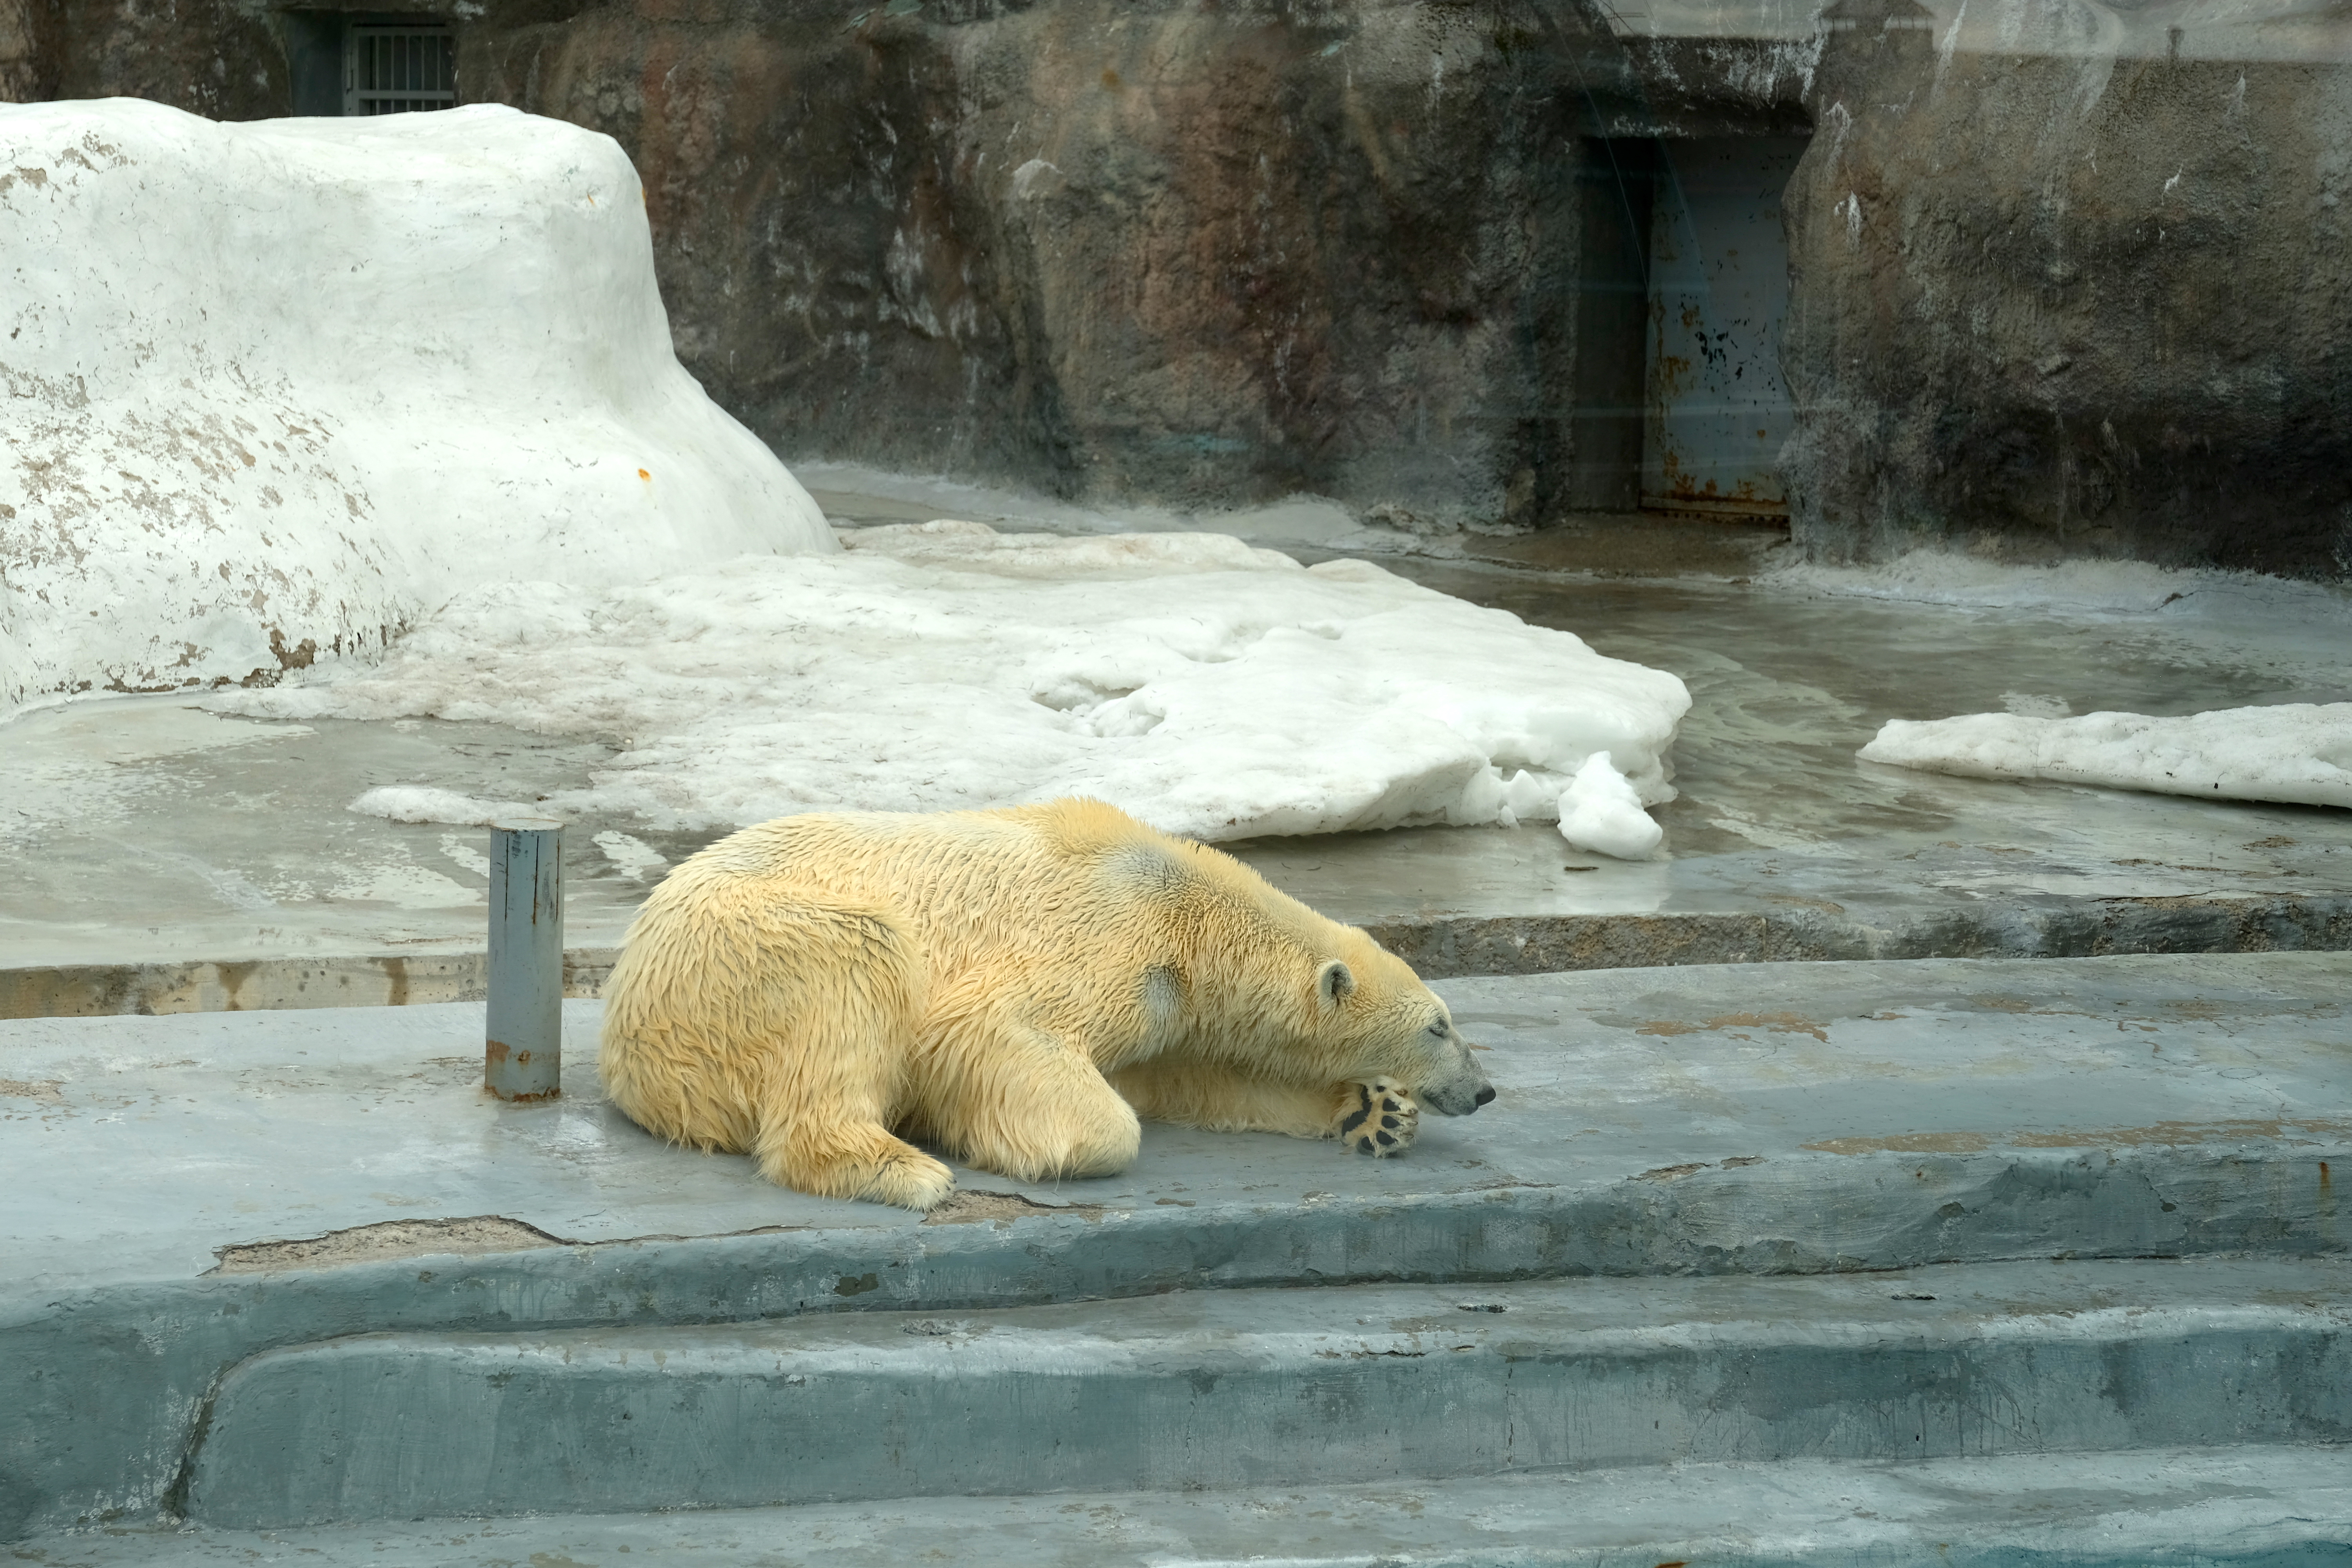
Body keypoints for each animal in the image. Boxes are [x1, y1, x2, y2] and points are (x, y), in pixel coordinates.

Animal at [602, 804, 1486, 1213]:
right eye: (1439, 1025)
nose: (1483, 1090)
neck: (1187, 914)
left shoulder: (1163, 1007)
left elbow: (1181, 1077)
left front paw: (1371, 1113)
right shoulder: (1101, 940)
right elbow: (993, 1038)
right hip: (745, 948)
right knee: (857, 957)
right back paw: (904, 1168)